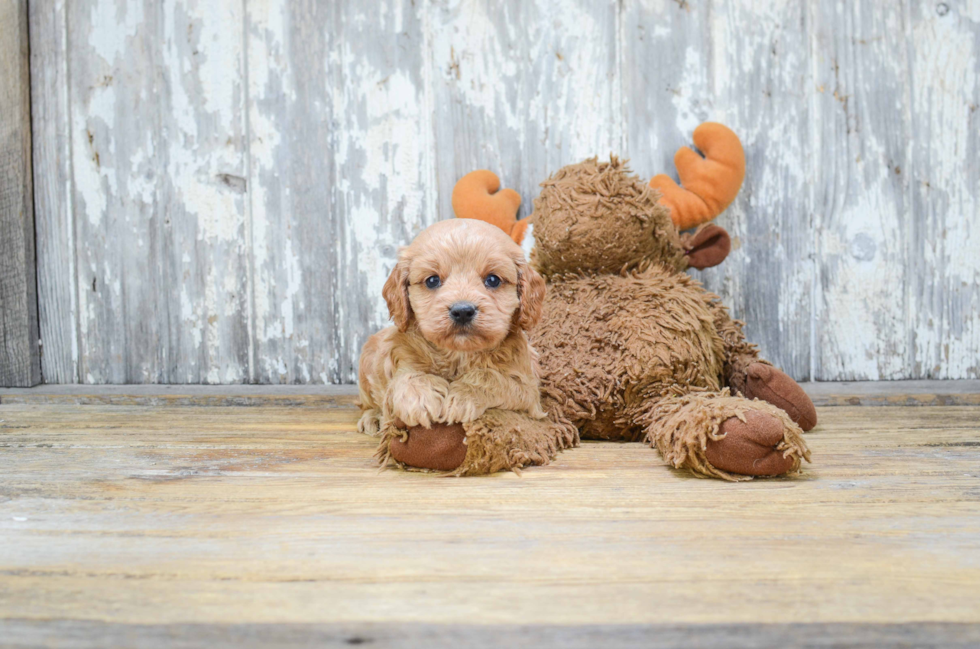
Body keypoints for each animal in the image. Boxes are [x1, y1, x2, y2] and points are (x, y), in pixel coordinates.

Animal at [356, 219, 548, 440]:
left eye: (493, 280)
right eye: (432, 280)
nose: (463, 311)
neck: (459, 354)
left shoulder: (528, 391)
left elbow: (491, 377)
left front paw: (463, 396)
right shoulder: (402, 360)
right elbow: (406, 379)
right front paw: (421, 397)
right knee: (367, 403)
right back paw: (372, 418)